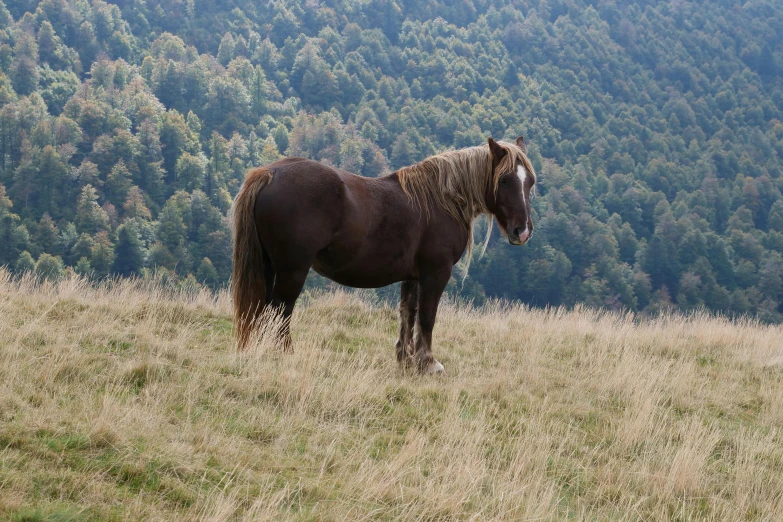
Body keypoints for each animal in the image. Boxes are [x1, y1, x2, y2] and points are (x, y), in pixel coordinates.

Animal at [233, 136, 536, 372]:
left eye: (530, 182)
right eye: (505, 180)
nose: (522, 231)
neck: (441, 200)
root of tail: (271, 173)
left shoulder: (413, 276)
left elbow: (408, 314)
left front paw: (406, 359)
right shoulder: (436, 272)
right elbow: (427, 316)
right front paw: (428, 363)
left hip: (269, 265)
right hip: (293, 270)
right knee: (280, 309)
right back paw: (284, 353)